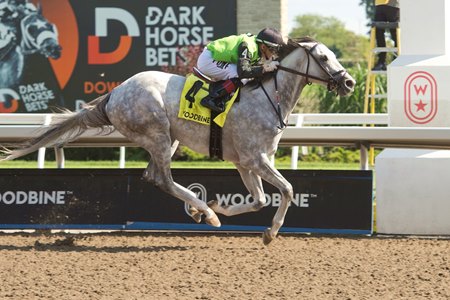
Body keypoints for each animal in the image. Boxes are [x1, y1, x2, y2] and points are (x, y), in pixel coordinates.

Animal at [0, 37, 356, 244]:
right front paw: (268, 232)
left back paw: (203, 210)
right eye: (325, 58)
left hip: (167, 139)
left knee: (153, 176)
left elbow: (258, 199)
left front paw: (220, 206)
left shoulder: (246, 162)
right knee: (165, 180)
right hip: (157, 133)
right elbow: (288, 190)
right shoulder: (255, 158)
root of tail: (115, 93)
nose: (350, 82)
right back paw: (205, 212)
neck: (269, 96)